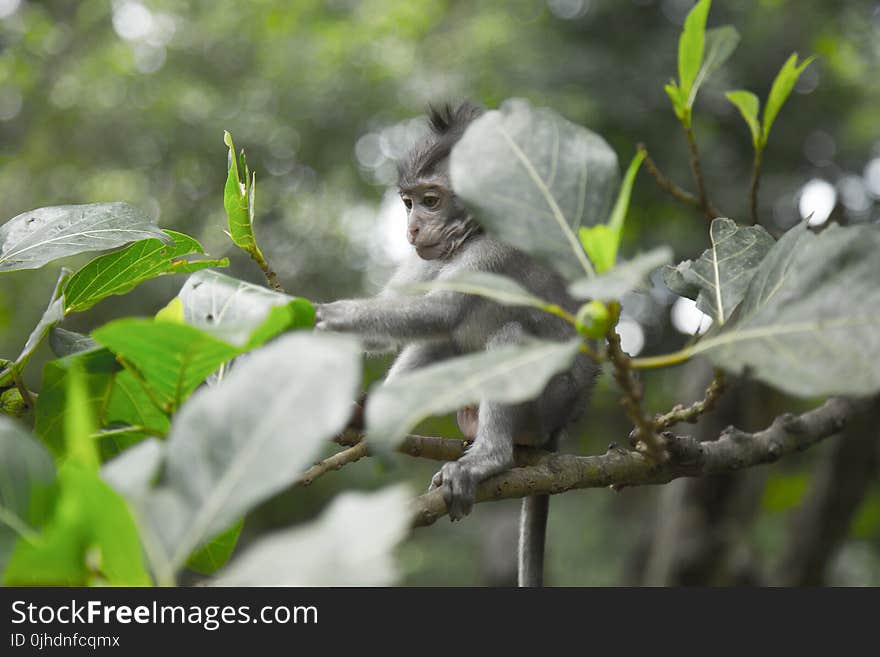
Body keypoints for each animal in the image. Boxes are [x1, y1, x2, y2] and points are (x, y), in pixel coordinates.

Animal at [312, 101, 596, 584]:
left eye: (432, 201)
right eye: (408, 203)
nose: (410, 230)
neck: (473, 233)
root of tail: (560, 428)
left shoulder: (497, 247)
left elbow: (441, 311)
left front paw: (327, 316)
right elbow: (404, 318)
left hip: (547, 403)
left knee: (507, 335)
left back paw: (488, 459)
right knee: (441, 344)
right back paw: (372, 416)